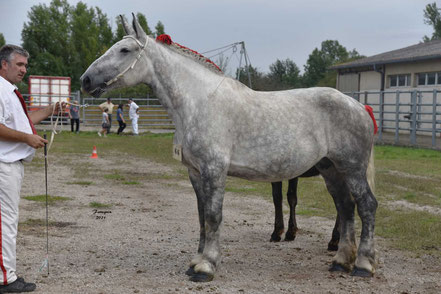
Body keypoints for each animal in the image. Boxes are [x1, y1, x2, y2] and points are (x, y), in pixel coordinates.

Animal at [82, 14, 378, 282]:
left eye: (125, 50)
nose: (86, 80)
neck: (199, 103)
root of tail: (358, 106)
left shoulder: (214, 169)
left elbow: (214, 216)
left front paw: (206, 267)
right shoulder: (196, 173)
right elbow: (202, 216)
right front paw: (196, 261)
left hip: (352, 168)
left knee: (366, 206)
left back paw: (363, 265)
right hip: (331, 169)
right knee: (345, 208)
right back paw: (340, 261)